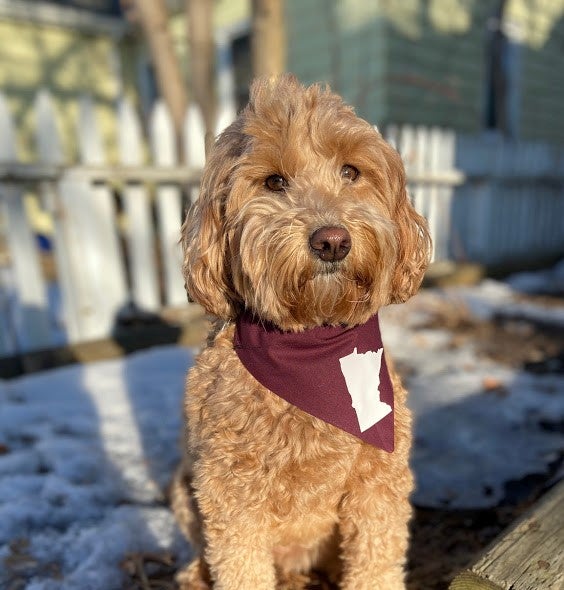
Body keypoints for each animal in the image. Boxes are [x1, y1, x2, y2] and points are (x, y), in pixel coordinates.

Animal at [171, 75, 428, 590]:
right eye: (274, 181)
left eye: (351, 171)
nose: (332, 240)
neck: (313, 338)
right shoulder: (229, 492)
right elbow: (240, 566)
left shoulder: (379, 482)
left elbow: (376, 561)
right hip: (182, 489)